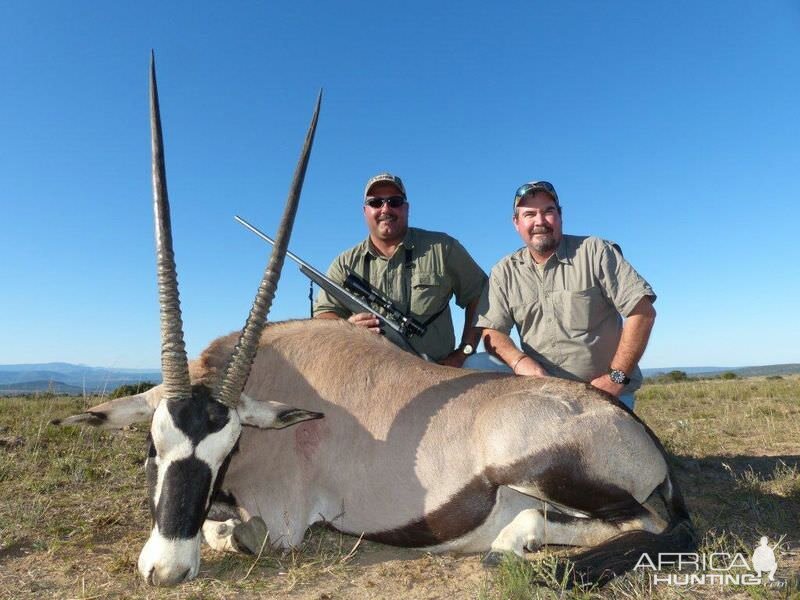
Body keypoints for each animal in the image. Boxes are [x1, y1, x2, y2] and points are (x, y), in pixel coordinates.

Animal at [54, 57, 692, 592]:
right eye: (152, 445)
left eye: (227, 450)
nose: (166, 570)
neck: (283, 380)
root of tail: (633, 430)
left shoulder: (285, 517)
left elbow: (233, 531)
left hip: (547, 470)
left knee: (646, 524)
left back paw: (518, 540)